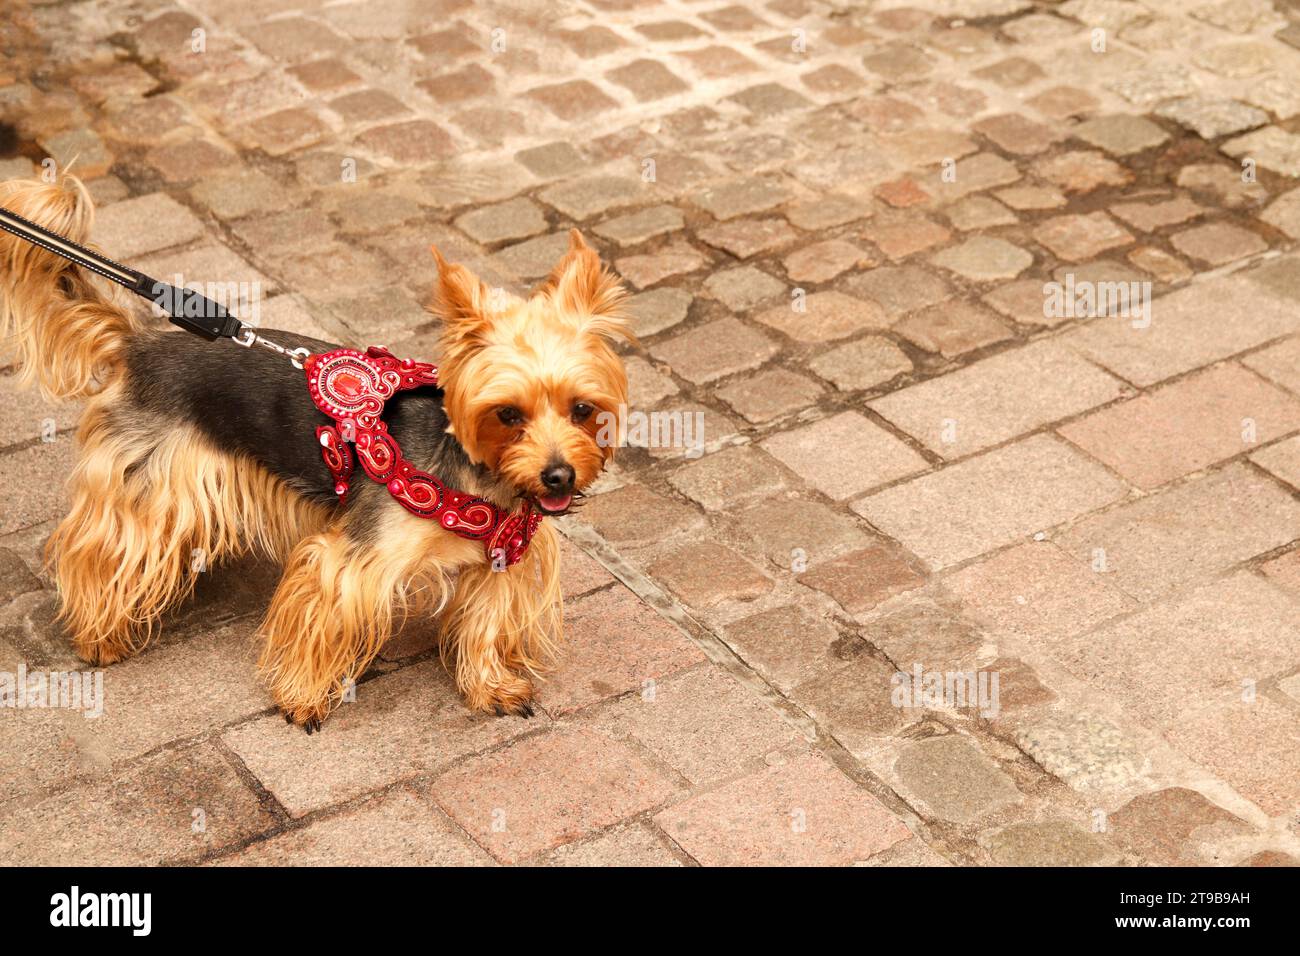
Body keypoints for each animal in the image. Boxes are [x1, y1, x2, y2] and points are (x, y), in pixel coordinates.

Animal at [0, 175, 629, 733]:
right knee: (105, 550)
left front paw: (491, 686)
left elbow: (489, 624)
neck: (480, 477)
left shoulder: (501, 566)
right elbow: (324, 614)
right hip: (146, 486)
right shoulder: (355, 560)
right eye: (507, 414)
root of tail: (139, 343)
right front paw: (303, 699)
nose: (558, 476)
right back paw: (100, 636)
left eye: (582, 408)